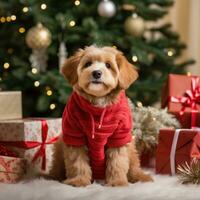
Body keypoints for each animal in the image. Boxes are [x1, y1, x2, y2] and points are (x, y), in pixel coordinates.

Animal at [49, 46, 152, 187]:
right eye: (88, 64)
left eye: (108, 65)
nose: (96, 73)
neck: (98, 104)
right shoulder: (74, 135)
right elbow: (77, 162)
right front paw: (79, 180)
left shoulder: (119, 137)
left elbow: (117, 162)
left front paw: (117, 182)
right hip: (60, 144)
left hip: (131, 146)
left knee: (134, 166)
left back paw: (140, 177)